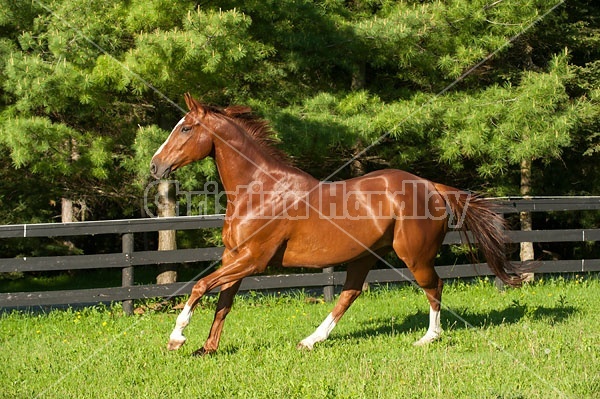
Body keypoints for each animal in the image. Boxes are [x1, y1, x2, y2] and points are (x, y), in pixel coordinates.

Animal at [149, 94, 520, 356]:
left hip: (414, 255)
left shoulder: (253, 260)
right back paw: (310, 340)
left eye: (185, 128)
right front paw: (207, 348)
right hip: (366, 255)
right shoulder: (234, 257)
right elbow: (223, 301)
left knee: (434, 286)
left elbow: (199, 287)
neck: (259, 189)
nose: (155, 166)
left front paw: (176, 338)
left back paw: (428, 338)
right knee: (349, 294)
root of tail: (432, 187)